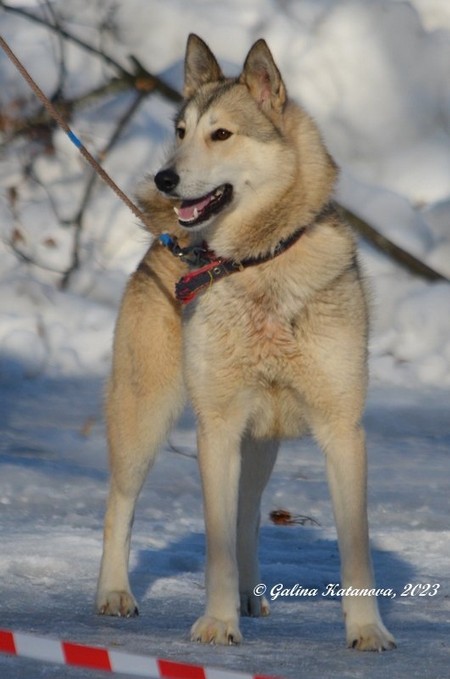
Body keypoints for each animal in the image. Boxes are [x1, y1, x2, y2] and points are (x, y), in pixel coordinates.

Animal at [96, 33, 396, 651]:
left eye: (221, 134)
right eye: (180, 130)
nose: (164, 178)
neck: (261, 262)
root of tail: (168, 239)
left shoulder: (341, 429)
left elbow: (354, 548)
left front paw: (366, 630)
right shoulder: (217, 426)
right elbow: (215, 548)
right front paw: (216, 623)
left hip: (260, 446)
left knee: (247, 516)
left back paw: (249, 596)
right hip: (145, 416)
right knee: (120, 505)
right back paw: (115, 593)